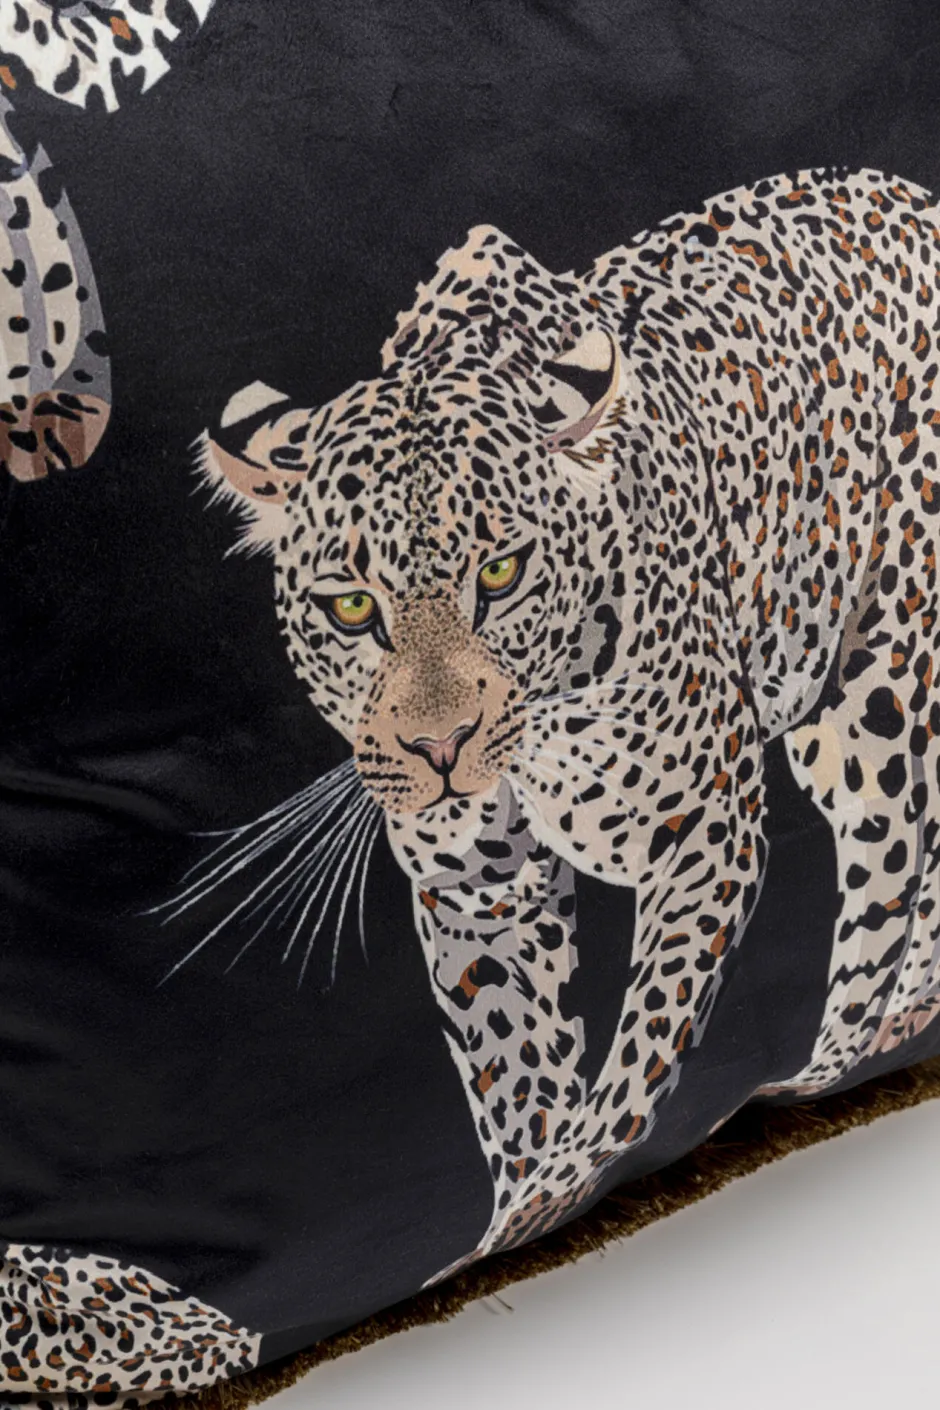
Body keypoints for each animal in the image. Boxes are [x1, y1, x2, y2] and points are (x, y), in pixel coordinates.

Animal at [194, 166, 940, 1282]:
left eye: (500, 574)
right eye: (353, 607)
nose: (440, 751)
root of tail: (908, 189)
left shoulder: (702, 834)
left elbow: (633, 1067)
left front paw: (553, 1194)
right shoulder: (477, 887)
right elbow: (517, 1081)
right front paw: (517, 1218)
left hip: (884, 701)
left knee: (893, 877)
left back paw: (875, 1032)